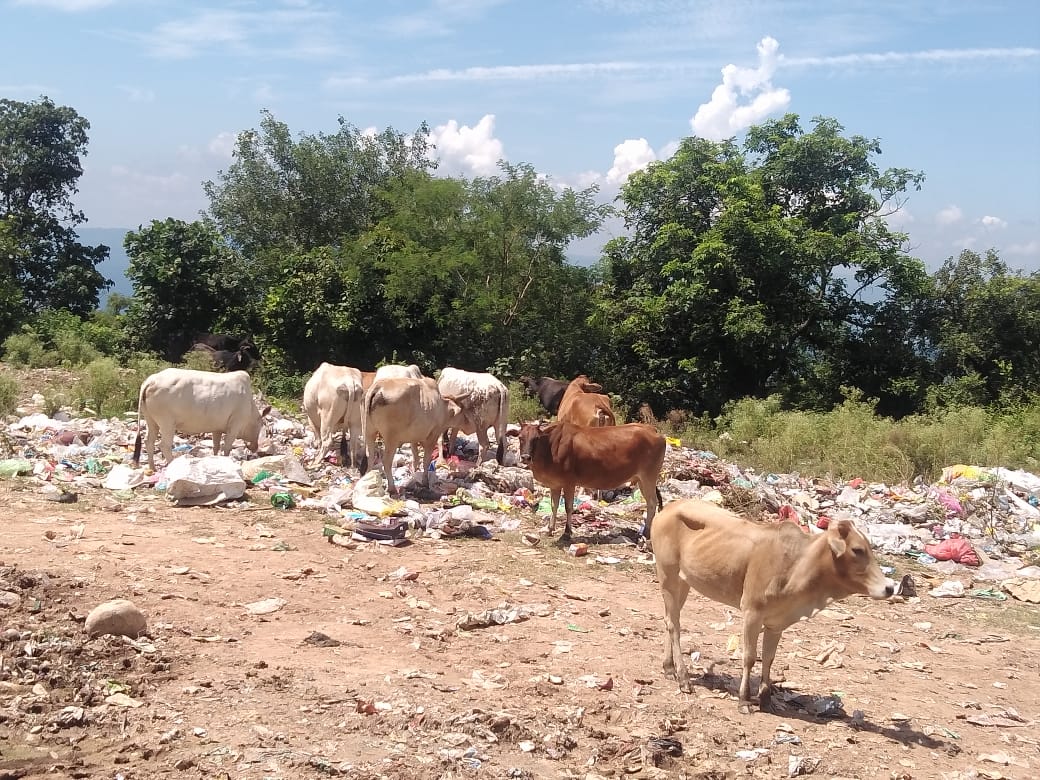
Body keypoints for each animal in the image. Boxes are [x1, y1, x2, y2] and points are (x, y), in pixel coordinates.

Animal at [132, 368, 270, 470]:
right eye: (261, 424)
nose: (255, 447)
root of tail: (152, 380)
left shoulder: (217, 429)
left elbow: (216, 446)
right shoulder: (235, 425)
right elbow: (226, 448)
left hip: (151, 421)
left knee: (149, 442)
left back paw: (152, 467)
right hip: (167, 423)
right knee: (164, 445)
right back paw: (171, 464)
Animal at [505, 422, 665, 544]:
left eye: (536, 438)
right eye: (520, 437)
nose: (526, 457)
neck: (550, 448)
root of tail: (653, 431)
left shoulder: (569, 483)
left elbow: (568, 507)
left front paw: (567, 533)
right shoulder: (555, 484)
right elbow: (554, 506)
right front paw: (550, 529)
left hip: (649, 477)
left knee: (652, 503)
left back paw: (646, 533)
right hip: (641, 480)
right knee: (651, 502)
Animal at [648, 501, 894, 715]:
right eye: (857, 550)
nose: (890, 588)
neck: (798, 565)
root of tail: (669, 507)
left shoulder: (777, 623)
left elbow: (769, 658)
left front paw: (766, 698)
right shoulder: (751, 613)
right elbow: (749, 657)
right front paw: (744, 700)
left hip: (683, 583)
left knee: (669, 620)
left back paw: (669, 667)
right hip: (668, 575)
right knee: (674, 625)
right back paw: (683, 678)